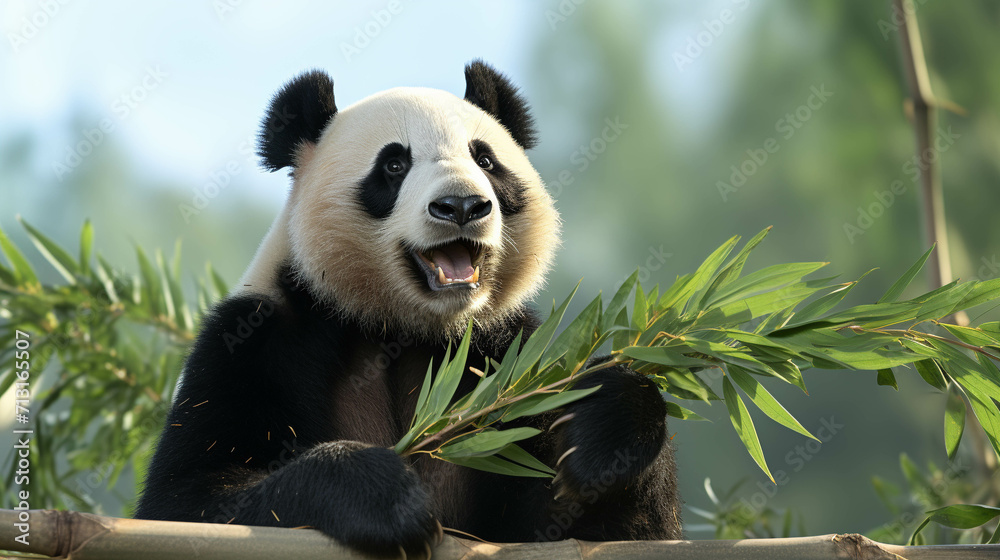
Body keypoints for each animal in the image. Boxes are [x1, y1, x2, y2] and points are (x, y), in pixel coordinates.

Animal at [134, 60, 682, 556]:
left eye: (485, 161)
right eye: (394, 165)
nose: (462, 206)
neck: (406, 325)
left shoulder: (511, 350)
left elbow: (604, 530)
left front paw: (602, 429)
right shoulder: (257, 338)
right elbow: (187, 500)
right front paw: (385, 498)